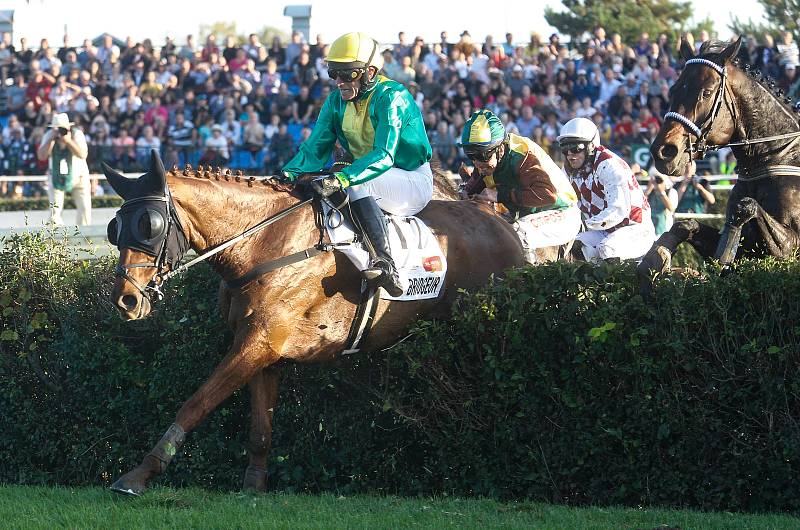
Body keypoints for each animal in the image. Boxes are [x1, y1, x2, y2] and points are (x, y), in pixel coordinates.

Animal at [101, 151, 524, 492]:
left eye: (150, 226)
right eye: (114, 227)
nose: (126, 299)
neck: (263, 242)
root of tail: (503, 223)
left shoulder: (259, 341)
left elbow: (195, 403)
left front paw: (139, 474)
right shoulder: (261, 348)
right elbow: (260, 427)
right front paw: (254, 485)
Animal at [640, 37, 800, 280]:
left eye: (706, 93)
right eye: (674, 89)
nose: (663, 151)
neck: (779, 157)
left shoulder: (791, 247)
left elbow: (745, 206)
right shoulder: (747, 249)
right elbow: (685, 226)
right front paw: (656, 257)